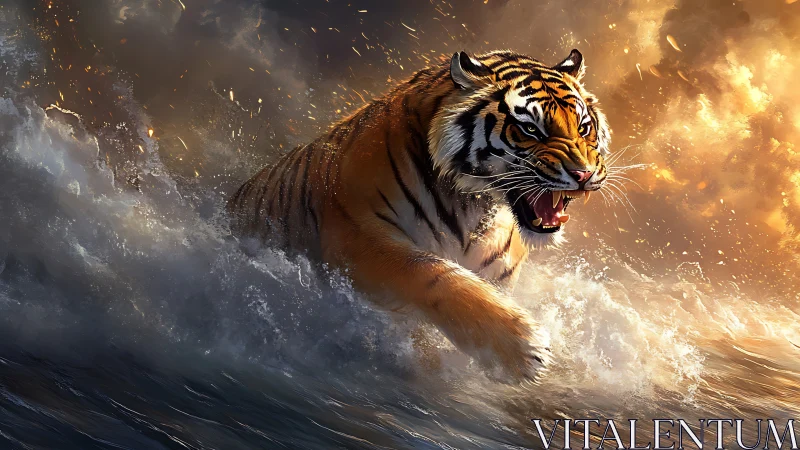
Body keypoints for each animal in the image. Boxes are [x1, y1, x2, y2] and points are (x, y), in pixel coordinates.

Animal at [228, 49, 611, 381]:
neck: (479, 207)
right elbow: (432, 274)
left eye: (584, 127)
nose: (584, 174)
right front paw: (523, 349)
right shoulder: (356, 238)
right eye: (531, 129)